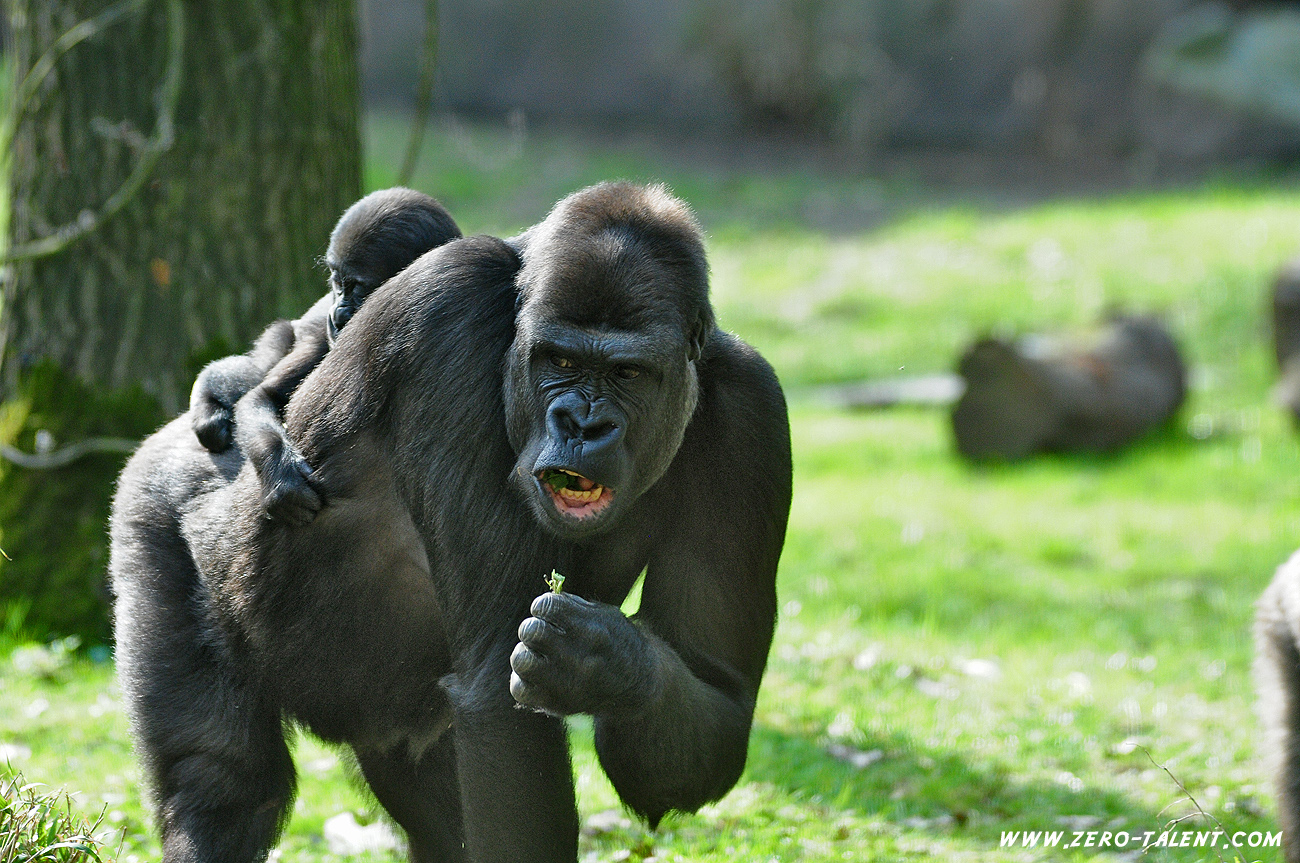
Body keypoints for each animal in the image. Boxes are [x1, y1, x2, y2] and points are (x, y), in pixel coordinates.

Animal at [188, 188, 460, 522]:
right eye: (337, 282)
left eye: (356, 287)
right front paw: (282, 478)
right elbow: (262, 395)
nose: (338, 314)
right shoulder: (320, 340)